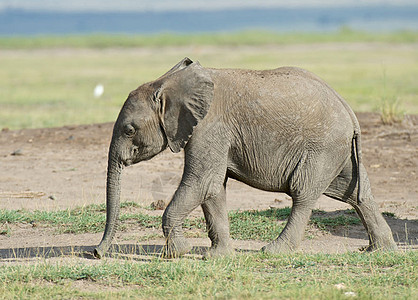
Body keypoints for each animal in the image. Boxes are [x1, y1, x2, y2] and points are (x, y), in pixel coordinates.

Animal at [93, 58, 396, 258]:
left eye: (129, 130)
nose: (96, 253)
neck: (167, 83)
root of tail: (350, 112)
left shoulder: (210, 127)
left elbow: (201, 182)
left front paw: (179, 253)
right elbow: (213, 188)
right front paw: (218, 257)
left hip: (322, 148)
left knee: (303, 194)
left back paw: (273, 252)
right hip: (338, 152)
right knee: (356, 194)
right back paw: (378, 251)